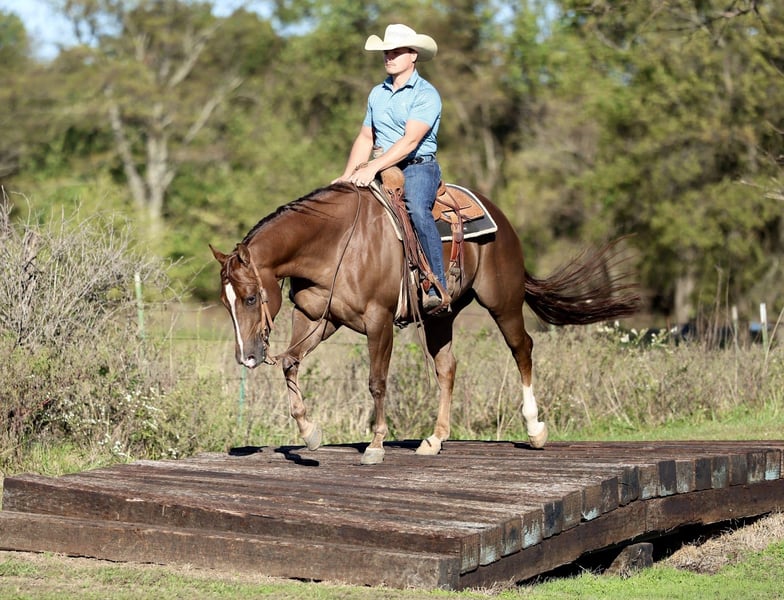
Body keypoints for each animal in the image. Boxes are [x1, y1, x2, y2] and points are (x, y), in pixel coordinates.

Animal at [210, 182, 638, 465]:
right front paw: (310, 433)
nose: (247, 357)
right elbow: (289, 362)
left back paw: (534, 430)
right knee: (447, 367)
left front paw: (375, 445)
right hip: (441, 315)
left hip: (503, 301)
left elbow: (377, 382)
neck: (336, 244)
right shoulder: (320, 318)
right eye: (226, 302)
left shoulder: (378, 320)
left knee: (522, 348)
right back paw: (435, 439)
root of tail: (499, 216)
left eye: (250, 298)